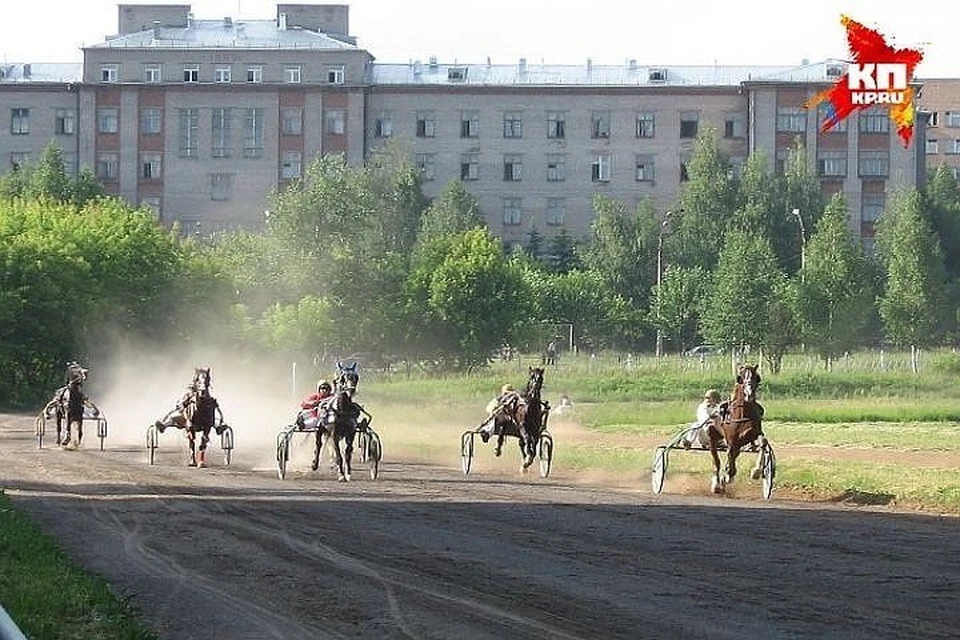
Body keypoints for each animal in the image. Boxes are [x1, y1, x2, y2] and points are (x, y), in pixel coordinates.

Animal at [704, 362, 764, 492]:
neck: (742, 412)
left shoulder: (754, 433)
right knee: (716, 460)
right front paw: (727, 475)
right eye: (741, 377)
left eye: (756, 377)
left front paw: (756, 471)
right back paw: (718, 482)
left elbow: (763, 442)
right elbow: (730, 452)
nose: (750, 393)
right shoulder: (731, 438)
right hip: (712, 437)